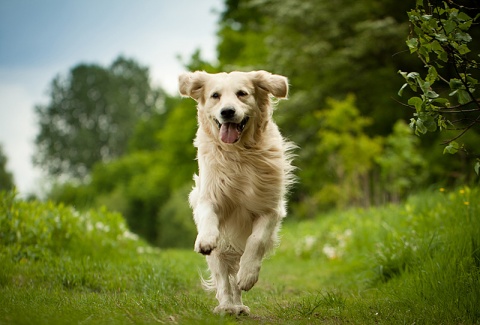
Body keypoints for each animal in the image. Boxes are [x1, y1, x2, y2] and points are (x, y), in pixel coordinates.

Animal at [178, 69, 294, 314]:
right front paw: (205, 238)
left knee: (235, 275)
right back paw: (227, 307)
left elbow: (256, 241)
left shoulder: (270, 208)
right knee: (223, 278)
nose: (227, 112)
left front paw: (248, 275)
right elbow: (208, 217)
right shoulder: (208, 196)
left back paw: (239, 304)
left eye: (242, 93)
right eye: (215, 96)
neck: (239, 154)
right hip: (221, 250)